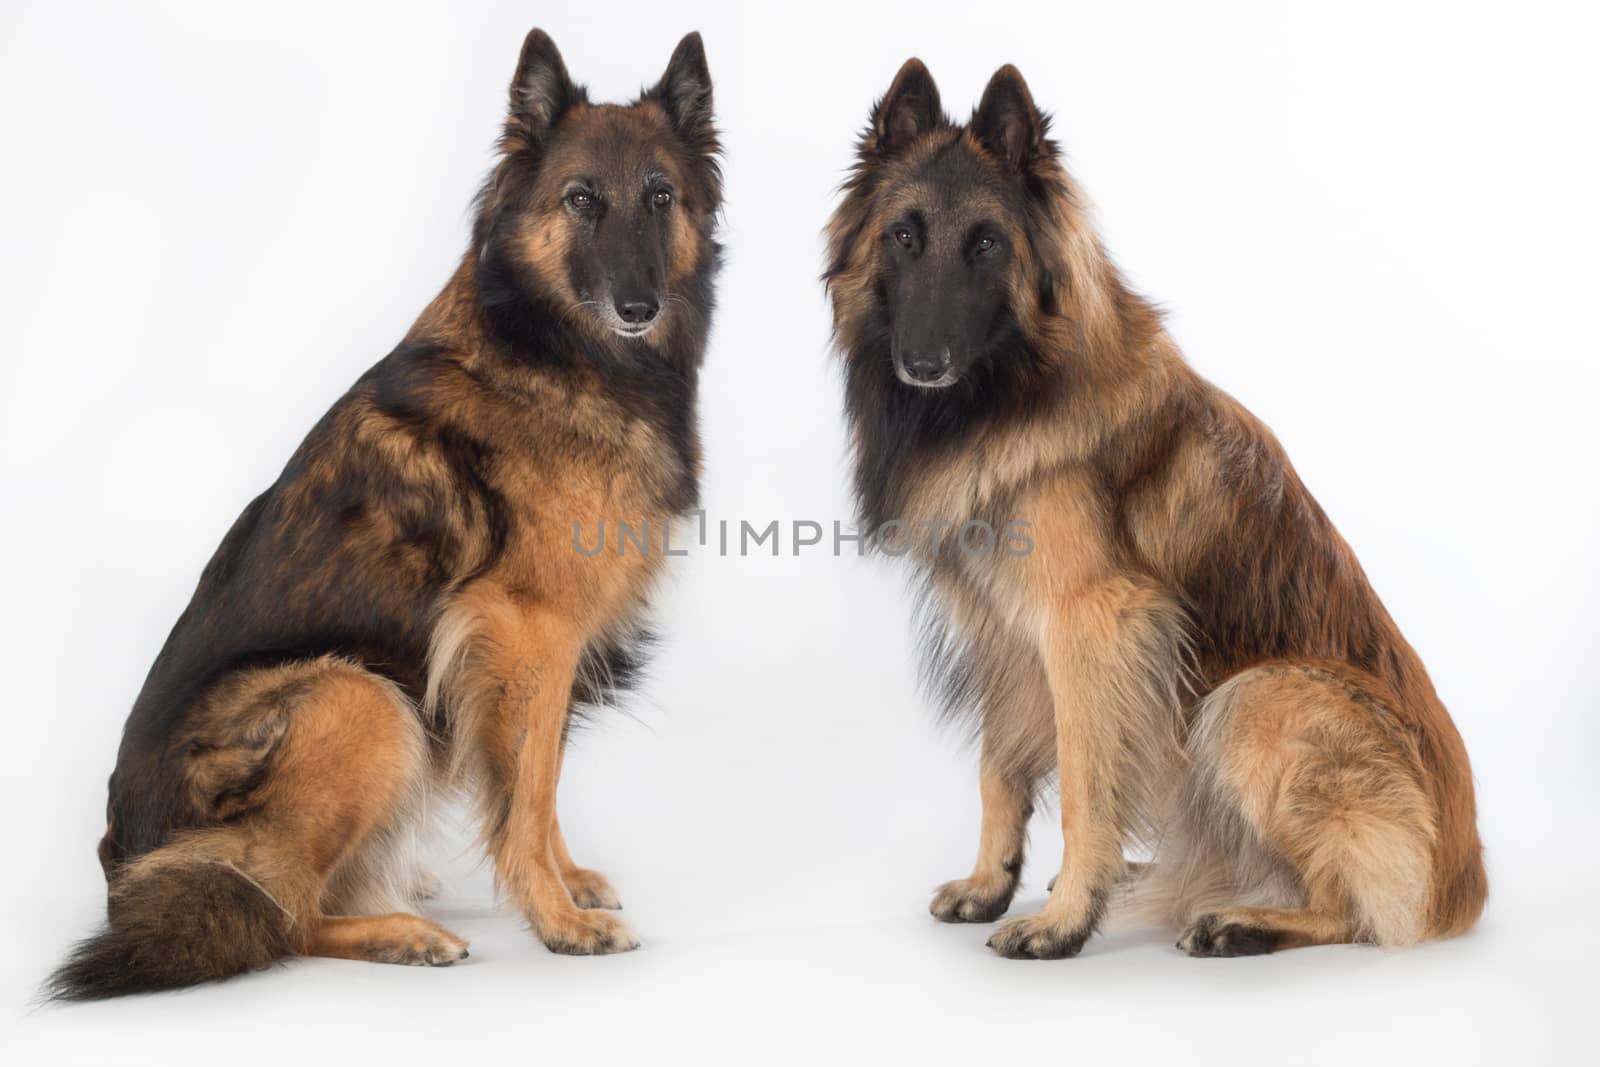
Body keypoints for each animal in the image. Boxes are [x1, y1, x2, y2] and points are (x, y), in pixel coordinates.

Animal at [48, 31, 726, 1004]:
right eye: (581, 199)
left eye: (661, 196)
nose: (638, 306)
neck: (550, 343)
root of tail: (117, 863)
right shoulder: (526, 629)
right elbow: (527, 793)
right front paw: (556, 917)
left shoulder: (539, 651)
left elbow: (541, 781)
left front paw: (568, 881)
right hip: (360, 696)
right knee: (281, 914)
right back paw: (403, 933)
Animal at [825, 60, 1484, 959]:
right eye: (903, 236)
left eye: (987, 243)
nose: (923, 362)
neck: (1015, 384)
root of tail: (1465, 884)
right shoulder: (1005, 629)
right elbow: (1000, 767)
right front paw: (993, 883)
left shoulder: (1092, 622)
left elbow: (1082, 783)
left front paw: (1066, 918)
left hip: (1257, 699)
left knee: (1355, 908)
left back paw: (1242, 920)